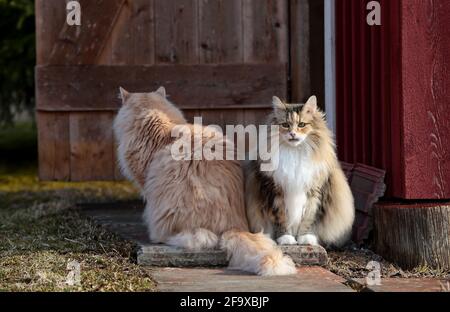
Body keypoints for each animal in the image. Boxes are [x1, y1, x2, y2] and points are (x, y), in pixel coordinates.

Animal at [246, 96, 356, 247]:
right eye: (285, 125)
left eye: (302, 124)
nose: (293, 133)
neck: (295, 152)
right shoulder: (276, 192)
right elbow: (281, 219)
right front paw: (286, 239)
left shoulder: (314, 192)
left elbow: (308, 219)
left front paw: (305, 239)